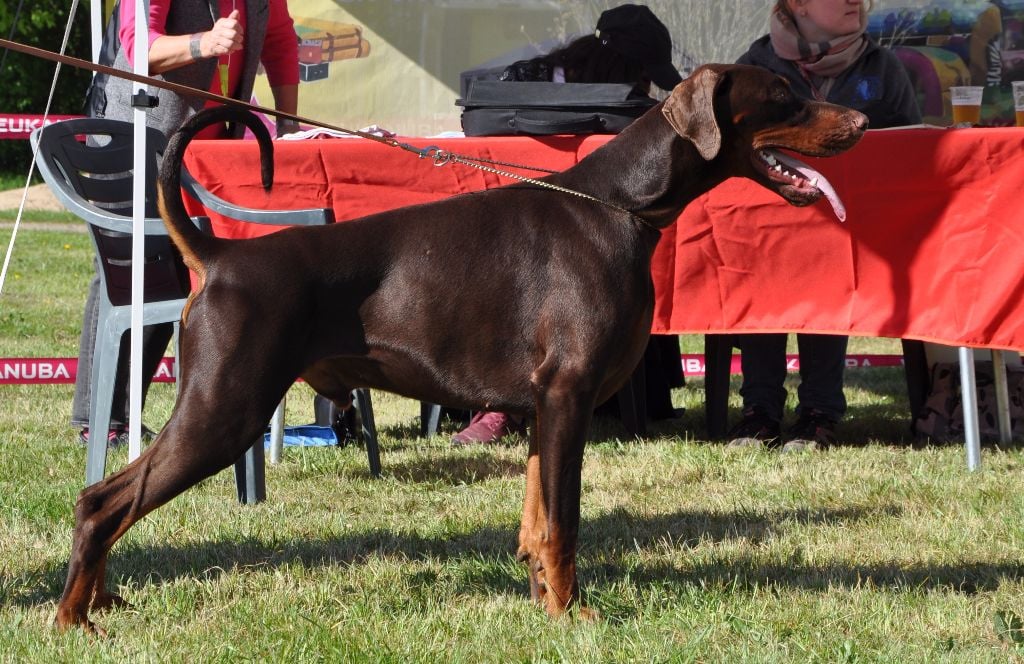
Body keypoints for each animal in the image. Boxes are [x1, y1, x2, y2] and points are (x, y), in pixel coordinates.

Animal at [56, 63, 868, 631]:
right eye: (785, 95)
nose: (861, 119)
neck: (620, 207)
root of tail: (221, 256)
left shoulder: (545, 405)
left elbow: (538, 521)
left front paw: (544, 604)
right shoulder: (568, 394)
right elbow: (566, 522)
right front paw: (572, 615)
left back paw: (101, 604)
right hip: (226, 409)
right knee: (102, 501)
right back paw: (73, 619)